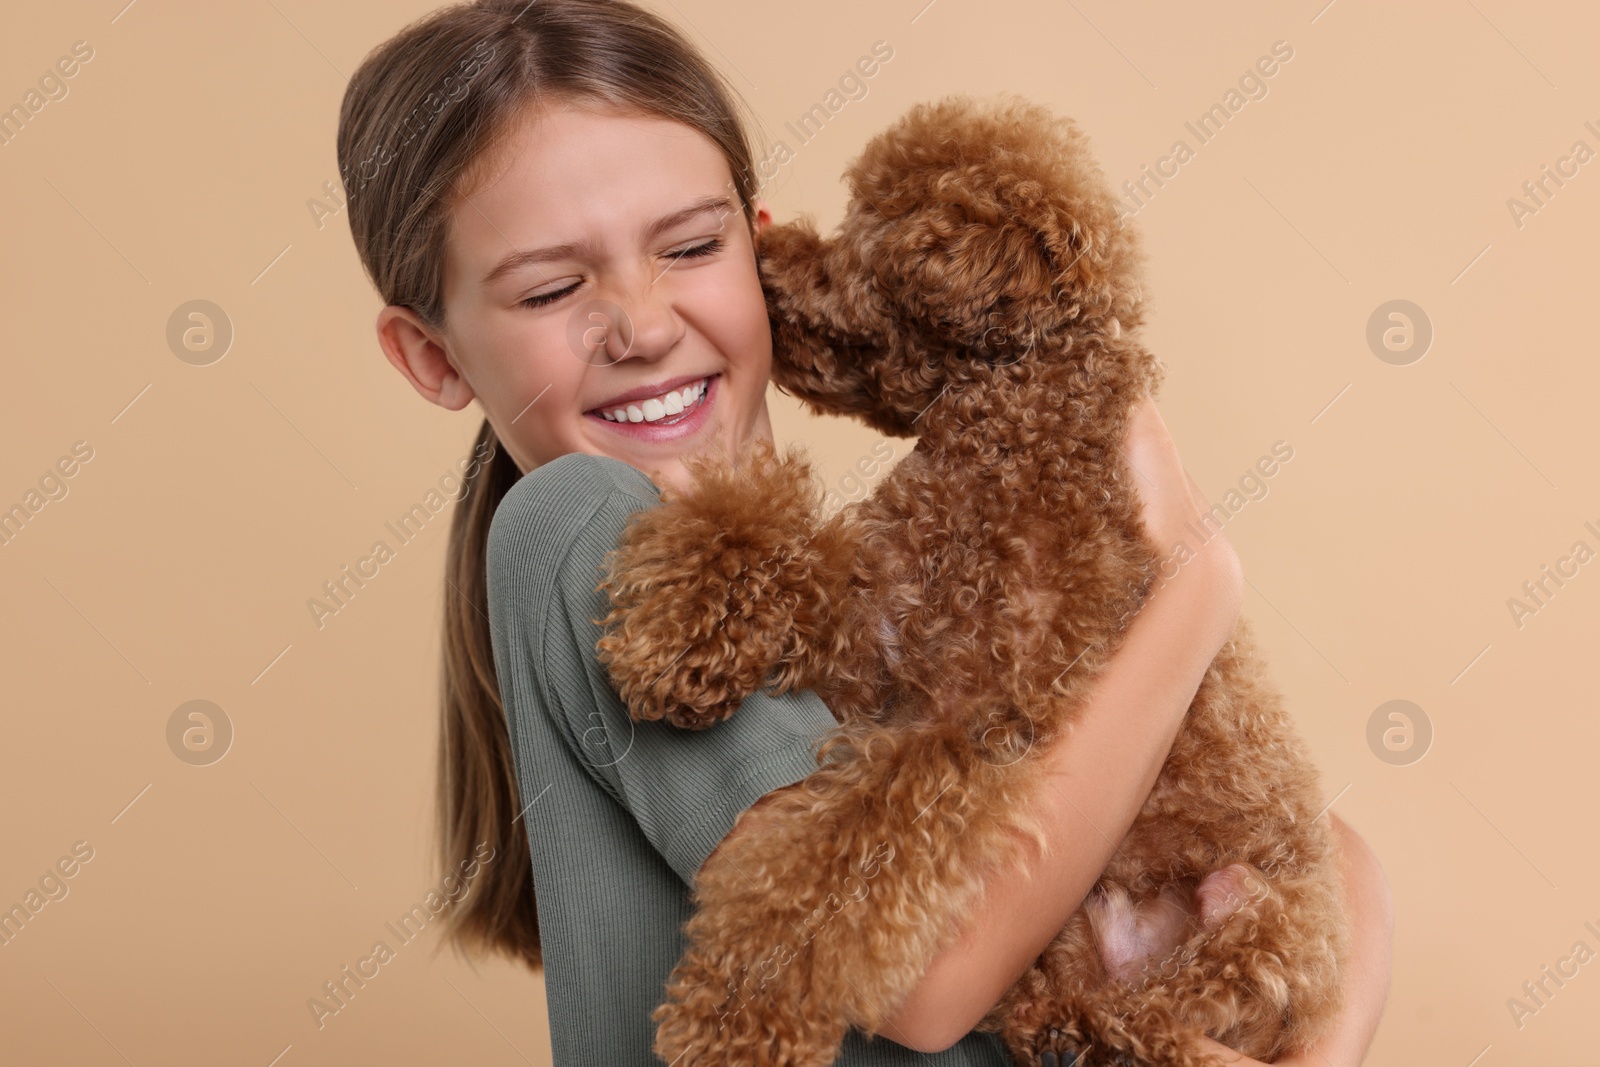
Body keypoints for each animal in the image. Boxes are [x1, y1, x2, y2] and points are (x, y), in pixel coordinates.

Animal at [595, 93, 1344, 1067]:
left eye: (867, 228)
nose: (760, 245)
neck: (1005, 445)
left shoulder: (972, 728)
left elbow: (839, 863)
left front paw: (736, 1022)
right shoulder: (875, 626)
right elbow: (773, 546)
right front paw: (676, 634)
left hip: (1269, 923)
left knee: (1183, 1008)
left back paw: (1116, 1033)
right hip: (1067, 937)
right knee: (1057, 998)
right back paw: (1067, 1023)